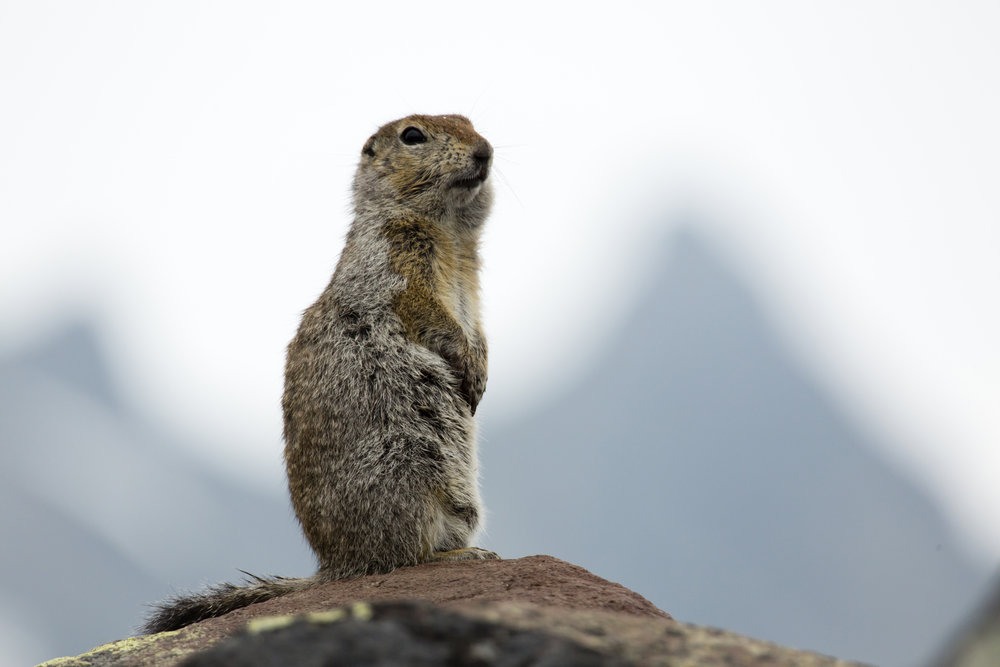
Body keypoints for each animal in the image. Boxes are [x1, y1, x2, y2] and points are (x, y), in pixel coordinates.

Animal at [141, 113, 500, 632]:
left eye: (470, 122)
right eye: (412, 135)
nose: (484, 150)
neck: (451, 232)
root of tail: (336, 565)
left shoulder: (471, 282)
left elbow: (478, 326)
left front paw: (482, 366)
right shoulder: (394, 260)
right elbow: (426, 311)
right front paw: (468, 366)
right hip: (409, 468)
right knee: (400, 559)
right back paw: (456, 557)